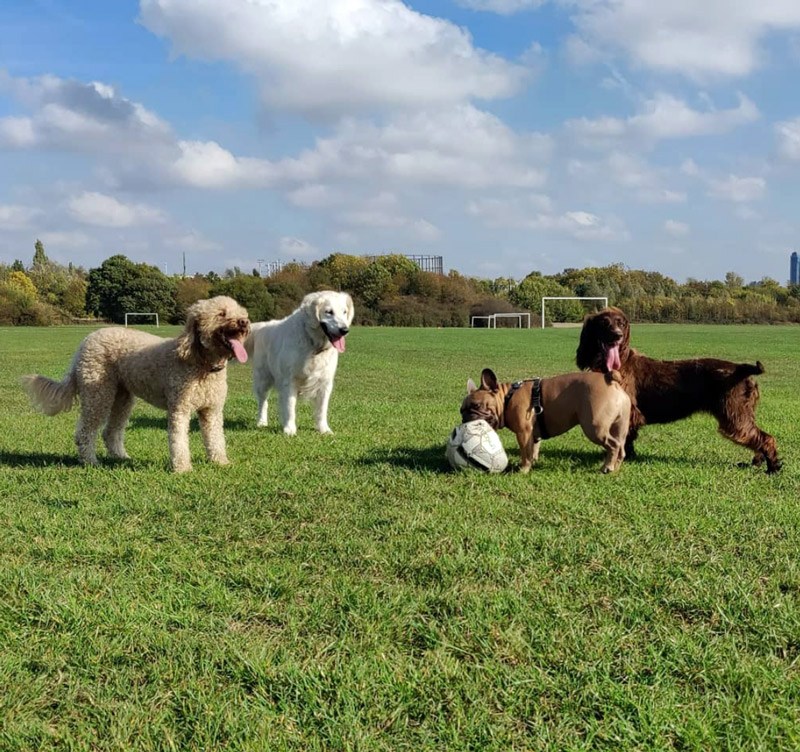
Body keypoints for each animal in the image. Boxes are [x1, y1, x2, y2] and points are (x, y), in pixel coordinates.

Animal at [22, 296, 250, 470]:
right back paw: (90, 461)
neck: (201, 364)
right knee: (85, 432)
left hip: (122, 398)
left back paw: (121, 457)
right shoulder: (179, 408)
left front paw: (221, 462)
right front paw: (183, 468)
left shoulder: (212, 411)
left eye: (242, 313)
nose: (244, 323)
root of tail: (84, 343)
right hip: (98, 394)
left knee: (110, 431)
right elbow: (179, 441)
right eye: (221, 314)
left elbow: (216, 438)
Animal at [244, 292, 354, 438]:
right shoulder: (289, 381)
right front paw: (289, 429)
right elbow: (290, 407)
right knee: (263, 402)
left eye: (344, 312)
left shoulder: (325, 382)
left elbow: (322, 409)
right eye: (329, 312)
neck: (313, 343)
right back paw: (262, 422)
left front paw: (324, 429)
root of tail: (263, 325)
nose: (344, 330)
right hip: (263, 379)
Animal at [462, 368, 632, 472]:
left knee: (613, 445)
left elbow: (525, 452)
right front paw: (533, 462)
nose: (465, 418)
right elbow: (533, 449)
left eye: (477, 405)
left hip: (594, 428)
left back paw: (607, 467)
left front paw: (524, 469)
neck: (507, 398)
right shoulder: (533, 434)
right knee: (621, 448)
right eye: (461, 410)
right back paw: (615, 468)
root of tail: (611, 381)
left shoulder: (523, 433)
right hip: (620, 427)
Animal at [576, 304, 780, 470]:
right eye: (604, 323)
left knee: (765, 438)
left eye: (621, 323)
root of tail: (741, 369)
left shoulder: (630, 412)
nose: (617, 335)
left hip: (734, 416)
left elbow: (624, 438)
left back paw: (773, 467)